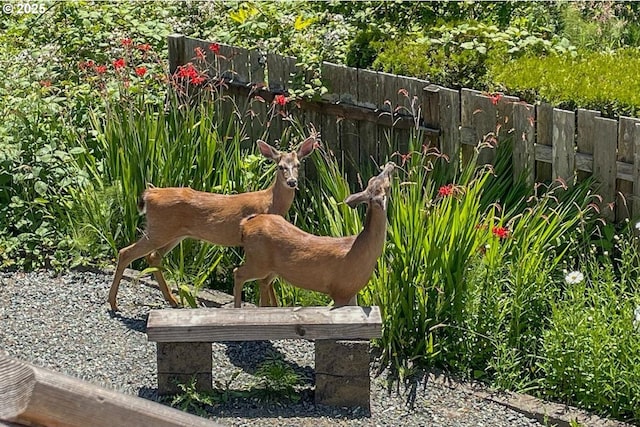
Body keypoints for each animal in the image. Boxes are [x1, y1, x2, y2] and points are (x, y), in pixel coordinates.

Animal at [110, 132, 322, 312]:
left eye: (298, 164)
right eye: (280, 166)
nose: (292, 182)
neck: (270, 201)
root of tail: (150, 193)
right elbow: (268, 280)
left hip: (173, 233)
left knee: (153, 257)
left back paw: (173, 300)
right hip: (159, 229)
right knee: (126, 252)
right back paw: (113, 303)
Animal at [235, 161, 396, 308]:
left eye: (373, 179)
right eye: (387, 185)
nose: (390, 164)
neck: (364, 249)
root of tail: (245, 224)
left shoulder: (351, 291)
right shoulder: (341, 290)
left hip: (271, 267)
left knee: (262, 281)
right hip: (258, 261)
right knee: (238, 272)